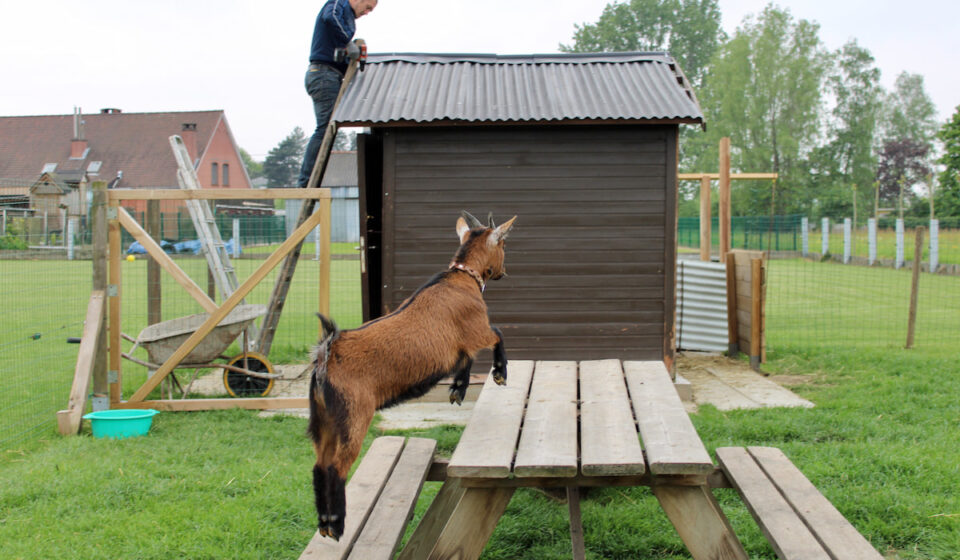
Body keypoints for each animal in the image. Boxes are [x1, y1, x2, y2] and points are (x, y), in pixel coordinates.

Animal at [307, 212, 516, 540]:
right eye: (503, 244)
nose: (503, 272)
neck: (462, 278)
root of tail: (326, 354)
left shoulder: (458, 346)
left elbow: (466, 359)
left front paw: (458, 390)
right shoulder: (477, 328)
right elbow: (497, 334)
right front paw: (499, 373)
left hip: (322, 420)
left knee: (319, 465)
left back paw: (324, 523)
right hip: (352, 417)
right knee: (336, 467)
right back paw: (337, 523)